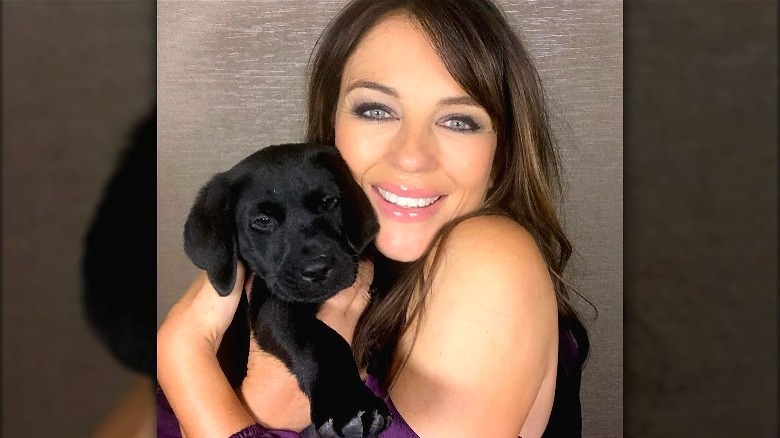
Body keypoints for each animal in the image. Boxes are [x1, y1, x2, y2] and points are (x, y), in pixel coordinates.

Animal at [183, 145, 390, 438]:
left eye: (329, 202)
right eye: (263, 221)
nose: (317, 269)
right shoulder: (272, 306)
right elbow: (322, 339)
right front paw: (350, 403)